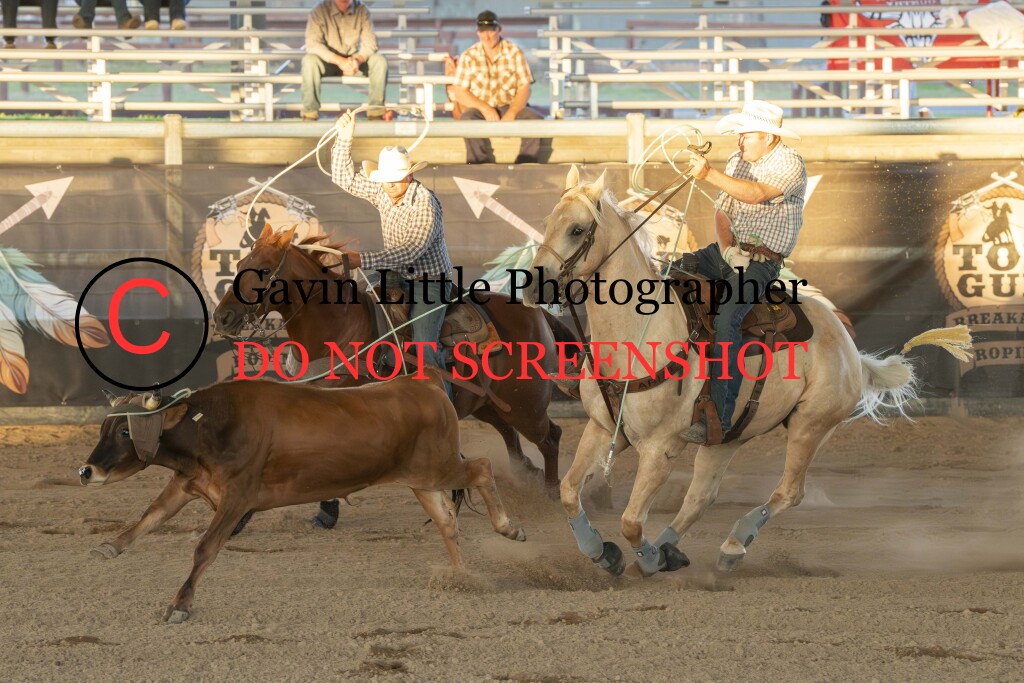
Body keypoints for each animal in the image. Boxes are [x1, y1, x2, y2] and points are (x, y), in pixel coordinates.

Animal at [79, 373, 526, 623]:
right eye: (104, 428)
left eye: (125, 431)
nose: (86, 471)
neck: (211, 425)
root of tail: (428, 387)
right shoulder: (187, 483)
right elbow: (150, 516)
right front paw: (110, 546)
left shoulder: (237, 497)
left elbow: (205, 548)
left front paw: (180, 606)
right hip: (422, 479)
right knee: (448, 520)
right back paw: (462, 576)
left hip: (440, 466)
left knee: (482, 467)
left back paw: (509, 529)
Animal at [212, 224, 575, 498]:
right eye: (239, 264)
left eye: (263, 271)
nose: (222, 316)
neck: (339, 324)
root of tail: (537, 314)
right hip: (491, 403)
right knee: (512, 436)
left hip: (526, 404)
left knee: (551, 436)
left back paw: (551, 492)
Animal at [523, 165, 971, 577]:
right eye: (548, 223)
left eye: (578, 229)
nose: (532, 287)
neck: (639, 331)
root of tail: (847, 345)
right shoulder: (601, 427)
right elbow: (568, 492)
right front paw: (603, 553)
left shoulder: (661, 446)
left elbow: (632, 521)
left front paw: (644, 559)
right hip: (727, 436)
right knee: (701, 497)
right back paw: (672, 549)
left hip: (811, 426)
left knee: (788, 492)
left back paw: (730, 547)